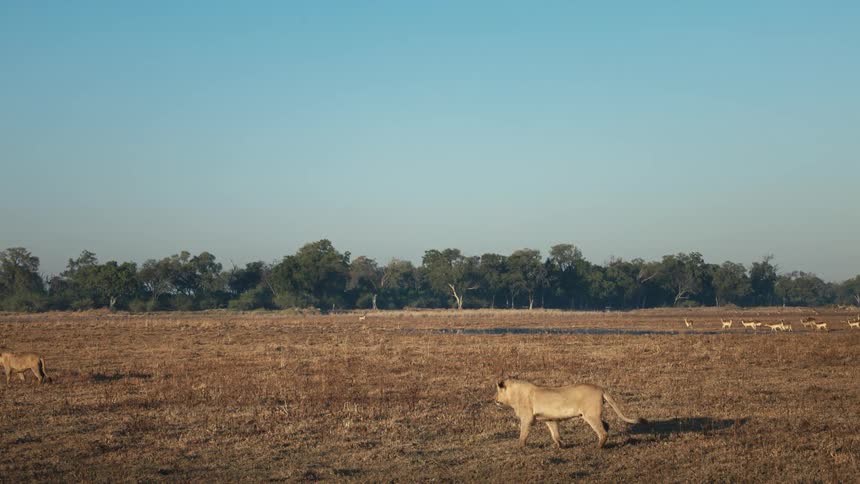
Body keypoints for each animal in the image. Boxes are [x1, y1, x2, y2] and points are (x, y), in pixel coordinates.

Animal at [494, 378, 643, 449]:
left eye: (497, 391)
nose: (494, 400)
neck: (514, 395)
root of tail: (600, 388)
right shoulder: (550, 419)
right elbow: (555, 434)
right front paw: (561, 446)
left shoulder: (527, 418)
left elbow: (523, 434)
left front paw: (519, 447)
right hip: (593, 415)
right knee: (606, 425)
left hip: (590, 415)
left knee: (602, 432)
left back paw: (599, 447)